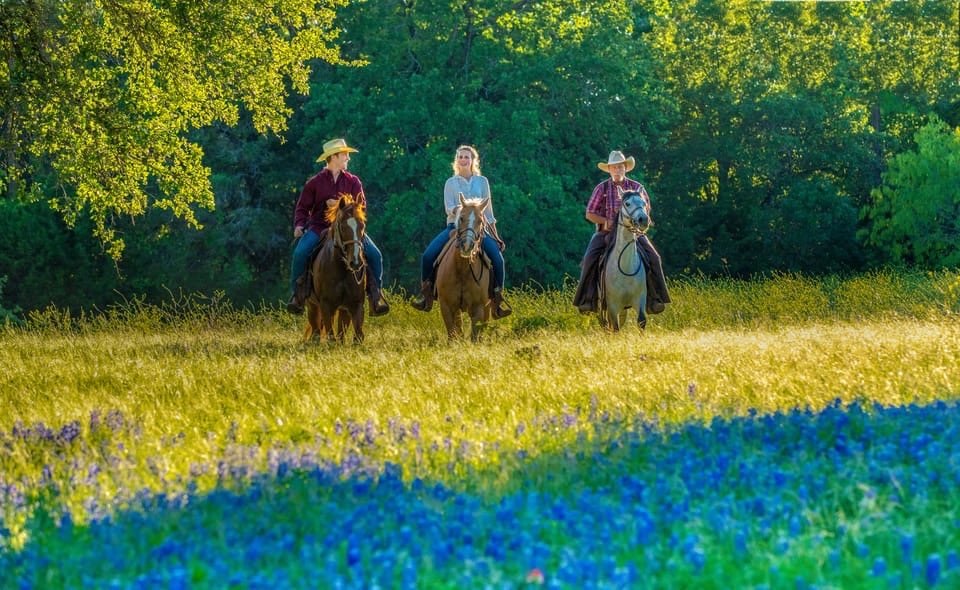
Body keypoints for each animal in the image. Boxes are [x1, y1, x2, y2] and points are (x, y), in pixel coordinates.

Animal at [304, 194, 368, 344]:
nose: (355, 262)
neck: (342, 270)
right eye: (343, 227)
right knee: (316, 330)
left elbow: (357, 335)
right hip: (312, 305)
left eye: (362, 225)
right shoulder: (327, 306)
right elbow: (331, 337)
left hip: (343, 309)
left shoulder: (355, 305)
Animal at [436, 194, 492, 342]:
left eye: (480, 220)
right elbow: (452, 334)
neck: (462, 269)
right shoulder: (447, 306)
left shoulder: (478, 307)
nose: (467, 246)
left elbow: (474, 335)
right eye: (461, 218)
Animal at [600, 193, 652, 336]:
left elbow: (641, 321)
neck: (625, 267)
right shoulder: (612, 305)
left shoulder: (640, 299)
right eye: (627, 203)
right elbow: (616, 328)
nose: (643, 219)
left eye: (644, 203)